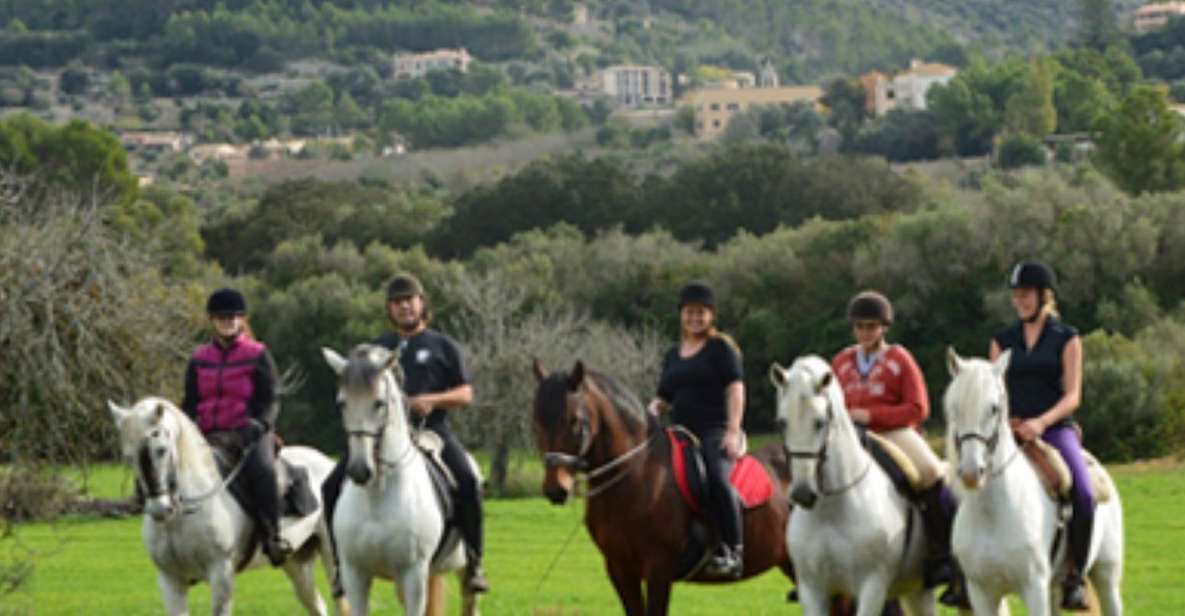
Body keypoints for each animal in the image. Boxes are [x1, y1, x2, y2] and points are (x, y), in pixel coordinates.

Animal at [107, 398, 343, 611]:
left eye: (161, 450)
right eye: (129, 457)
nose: (159, 509)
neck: (182, 517)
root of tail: (327, 463)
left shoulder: (221, 576)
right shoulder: (170, 581)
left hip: (331, 557)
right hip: (295, 563)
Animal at [322, 343, 478, 616]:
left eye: (379, 403)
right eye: (342, 403)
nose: (360, 470)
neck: (376, 497)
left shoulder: (413, 575)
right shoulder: (355, 574)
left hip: (461, 572)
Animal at [533, 357, 857, 611]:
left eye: (575, 422)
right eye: (536, 421)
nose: (555, 490)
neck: (636, 475)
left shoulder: (658, 569)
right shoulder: (620, 570)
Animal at [772, 355, 938, 616]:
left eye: (820, 422)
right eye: (782, 422)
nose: (802, 493)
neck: (831, 511)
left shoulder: (872, 587)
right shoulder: (812, 590)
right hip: (915, 589)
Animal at [943, 348, 1118, 611]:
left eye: (994, 408)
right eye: (954, 407)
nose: (972, 473)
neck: (992, 513)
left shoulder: (1033, 588)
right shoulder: (981, 593)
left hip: (1107, 577)